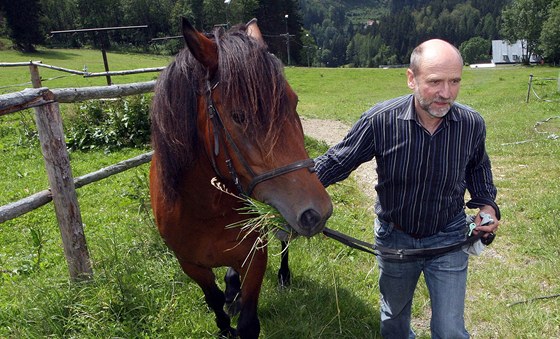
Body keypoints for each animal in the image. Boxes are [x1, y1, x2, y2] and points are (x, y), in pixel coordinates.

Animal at [149, 19, 332, 339]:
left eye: (294, 102)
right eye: (239, 116)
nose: (317, 212)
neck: (204, 211)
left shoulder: (255, 256)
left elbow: (248, 323)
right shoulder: (191, 265)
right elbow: (213, 301)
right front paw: (225, 324)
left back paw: (282, 277)